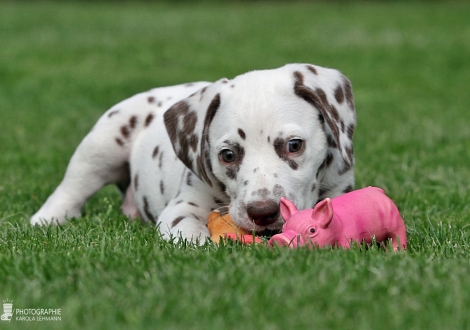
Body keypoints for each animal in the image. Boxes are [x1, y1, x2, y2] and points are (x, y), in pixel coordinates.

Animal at [31, 63, 356, 242]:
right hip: (101, 145)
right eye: (227, 155)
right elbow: (188, 232)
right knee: (70, 190)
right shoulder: (181, 207)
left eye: (294, 145)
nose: (263, 212)